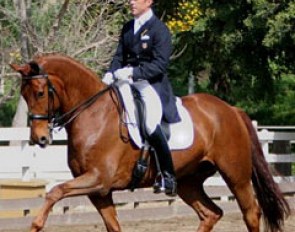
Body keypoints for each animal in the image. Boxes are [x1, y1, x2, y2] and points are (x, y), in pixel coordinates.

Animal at [10, 53, 290, 232]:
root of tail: (231, 109)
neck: (94, 114)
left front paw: (36, 225)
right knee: (211, 213)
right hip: (188, 181)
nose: (39, 138)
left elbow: (54, 191)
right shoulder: (99, 191)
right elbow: (113, 226)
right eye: (24, 94)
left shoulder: (98, 179)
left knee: (251, 213)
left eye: (40, 93)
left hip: (236, 175)